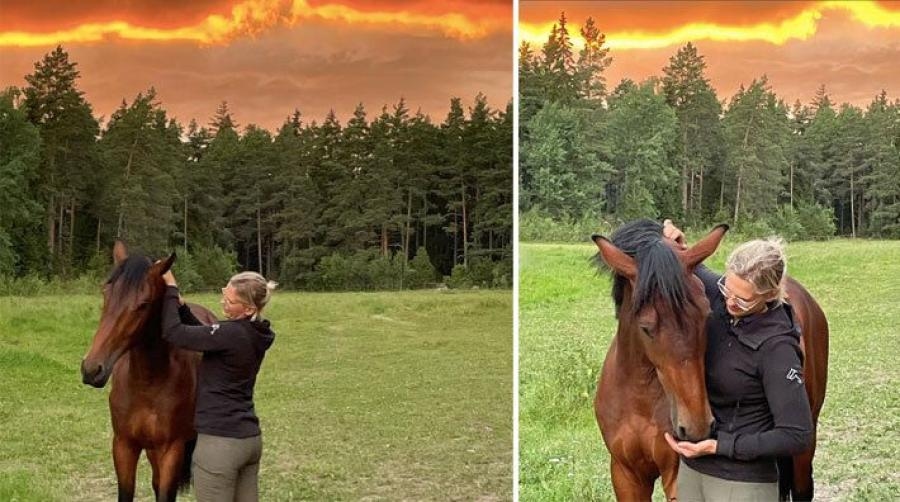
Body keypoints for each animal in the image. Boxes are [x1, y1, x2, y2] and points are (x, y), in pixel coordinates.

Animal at [81, 241, 218, 500]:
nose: (91, 369)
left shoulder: (171, 449)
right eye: (105, 293)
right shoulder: (123, 446)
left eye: (143, 304)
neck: (146, 383)